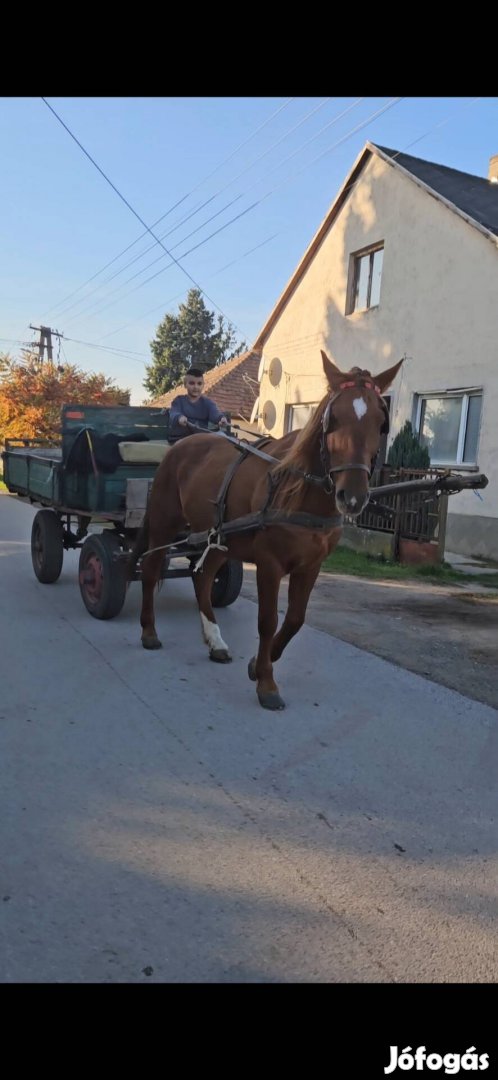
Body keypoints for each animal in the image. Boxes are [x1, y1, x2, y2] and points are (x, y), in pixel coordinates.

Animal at [129, 349, 404, 712]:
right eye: (333, 418)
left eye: (380, 421)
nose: (353, 495)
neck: (298, 489)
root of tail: (179, 447)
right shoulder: (269, 564)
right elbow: (268, 620)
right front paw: (266, 683)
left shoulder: (311, 566)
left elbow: (295, 619)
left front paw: (257, 665)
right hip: (163, 524)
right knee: (149, 570)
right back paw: (149, 632)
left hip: (220, 540)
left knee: (202, 577)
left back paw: (215, 641)